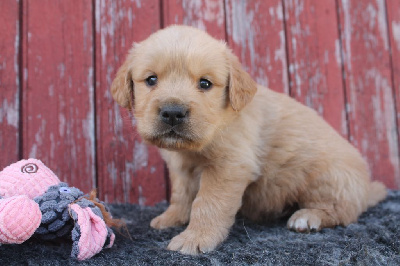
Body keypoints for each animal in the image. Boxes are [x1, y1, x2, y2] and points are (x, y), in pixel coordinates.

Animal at [110, 25, 388, 256]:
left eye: (205, 83)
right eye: (151, 79)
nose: (172, 113)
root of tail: (366, 188)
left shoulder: (228, 167)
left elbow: (207, 203)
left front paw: (195, 238)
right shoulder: (181, 168)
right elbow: (181, 195)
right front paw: (171, 218)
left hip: (327, 178)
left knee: (343, 212)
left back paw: (307, 217)